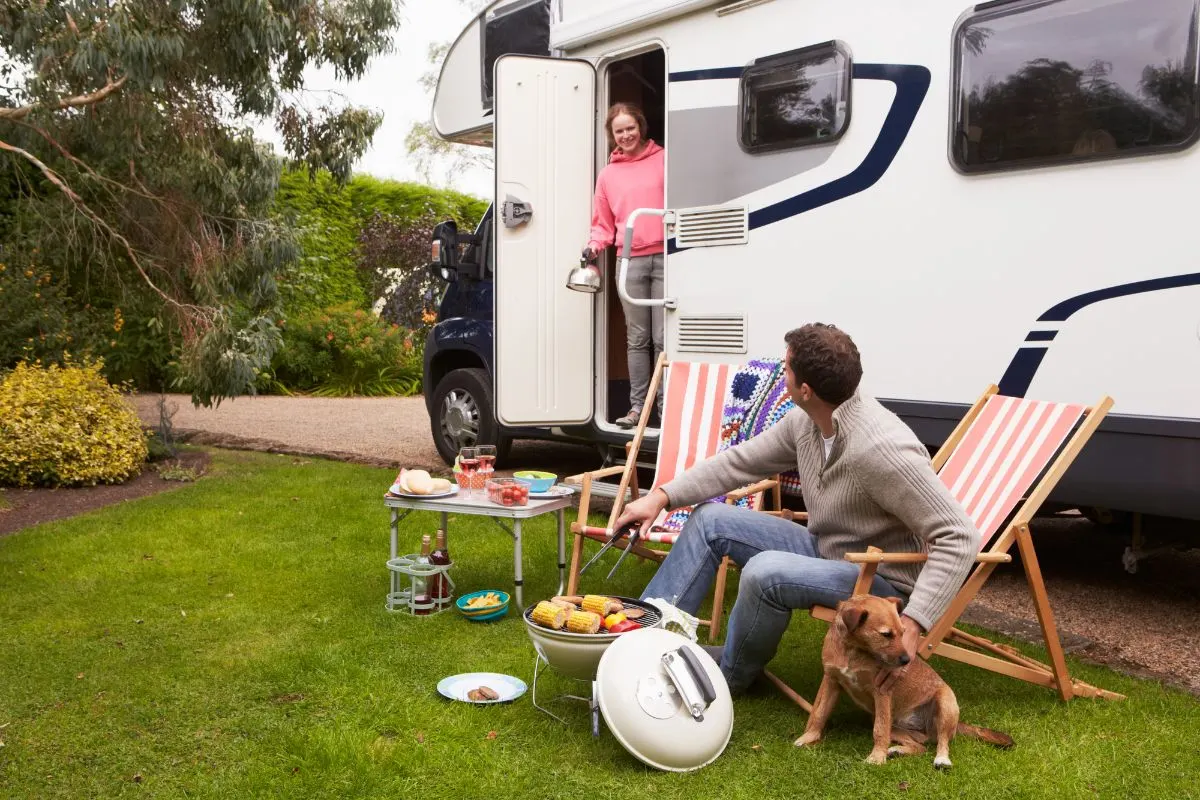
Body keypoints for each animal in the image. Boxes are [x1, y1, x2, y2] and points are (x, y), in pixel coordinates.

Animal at [796, 594, 1012, 767]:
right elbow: (819, 713)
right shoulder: (831, 681)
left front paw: (877, 757)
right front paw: (809, 738)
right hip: (898, 727)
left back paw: (941, 759)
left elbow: (879, 730)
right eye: (886, 634)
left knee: (942, 742)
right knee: (920, 746)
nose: (907, 660)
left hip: (945, 703)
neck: (853, 650)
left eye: (903, 632)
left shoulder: (881, 692)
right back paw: (898, 750)